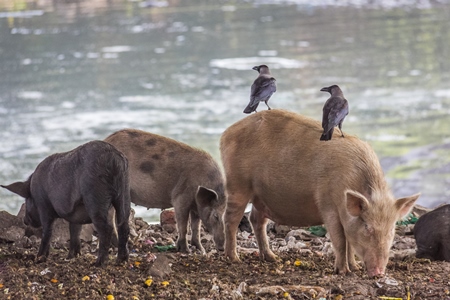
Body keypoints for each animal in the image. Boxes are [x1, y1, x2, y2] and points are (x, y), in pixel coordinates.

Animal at [1, 141, 131, 268]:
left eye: (26, 200)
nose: (25, 220)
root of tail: (114, 158)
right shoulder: (75, 216)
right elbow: (74, 232)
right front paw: (71, 257)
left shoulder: (44, 207)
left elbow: (47, 232)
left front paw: (39, 258)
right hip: (124, 193)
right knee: (123, 225)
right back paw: (121, 260)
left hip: (95, 199)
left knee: (106, 229)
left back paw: (99, 263)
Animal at [220, 109, 420, 276]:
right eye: (367, 227)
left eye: (392, 229)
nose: (379, 272)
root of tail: (225, 134)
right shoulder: (328, 205)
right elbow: (339, 240)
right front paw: (342, 271)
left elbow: (349, 242)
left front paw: (354, 268)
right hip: (237, 184)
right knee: (230, 219)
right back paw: (234, 259)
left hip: (261, 196)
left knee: (256, 220)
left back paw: (271, 258)